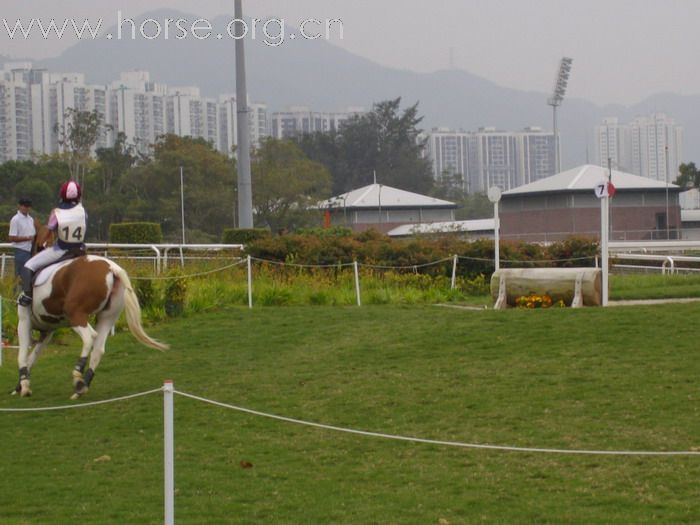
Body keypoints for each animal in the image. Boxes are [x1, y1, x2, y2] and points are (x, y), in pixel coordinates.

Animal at [15, 221, 168, 398]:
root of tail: (111, 268)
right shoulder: (47, 332)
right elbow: (32, 357)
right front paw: (20, 384)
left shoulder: (24, 322)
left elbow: (22, 355)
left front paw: (24, 386)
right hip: (107, 318)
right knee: (98, 348)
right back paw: (82, 386)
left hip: (76, 315)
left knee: (90, 338)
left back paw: (77, 375)